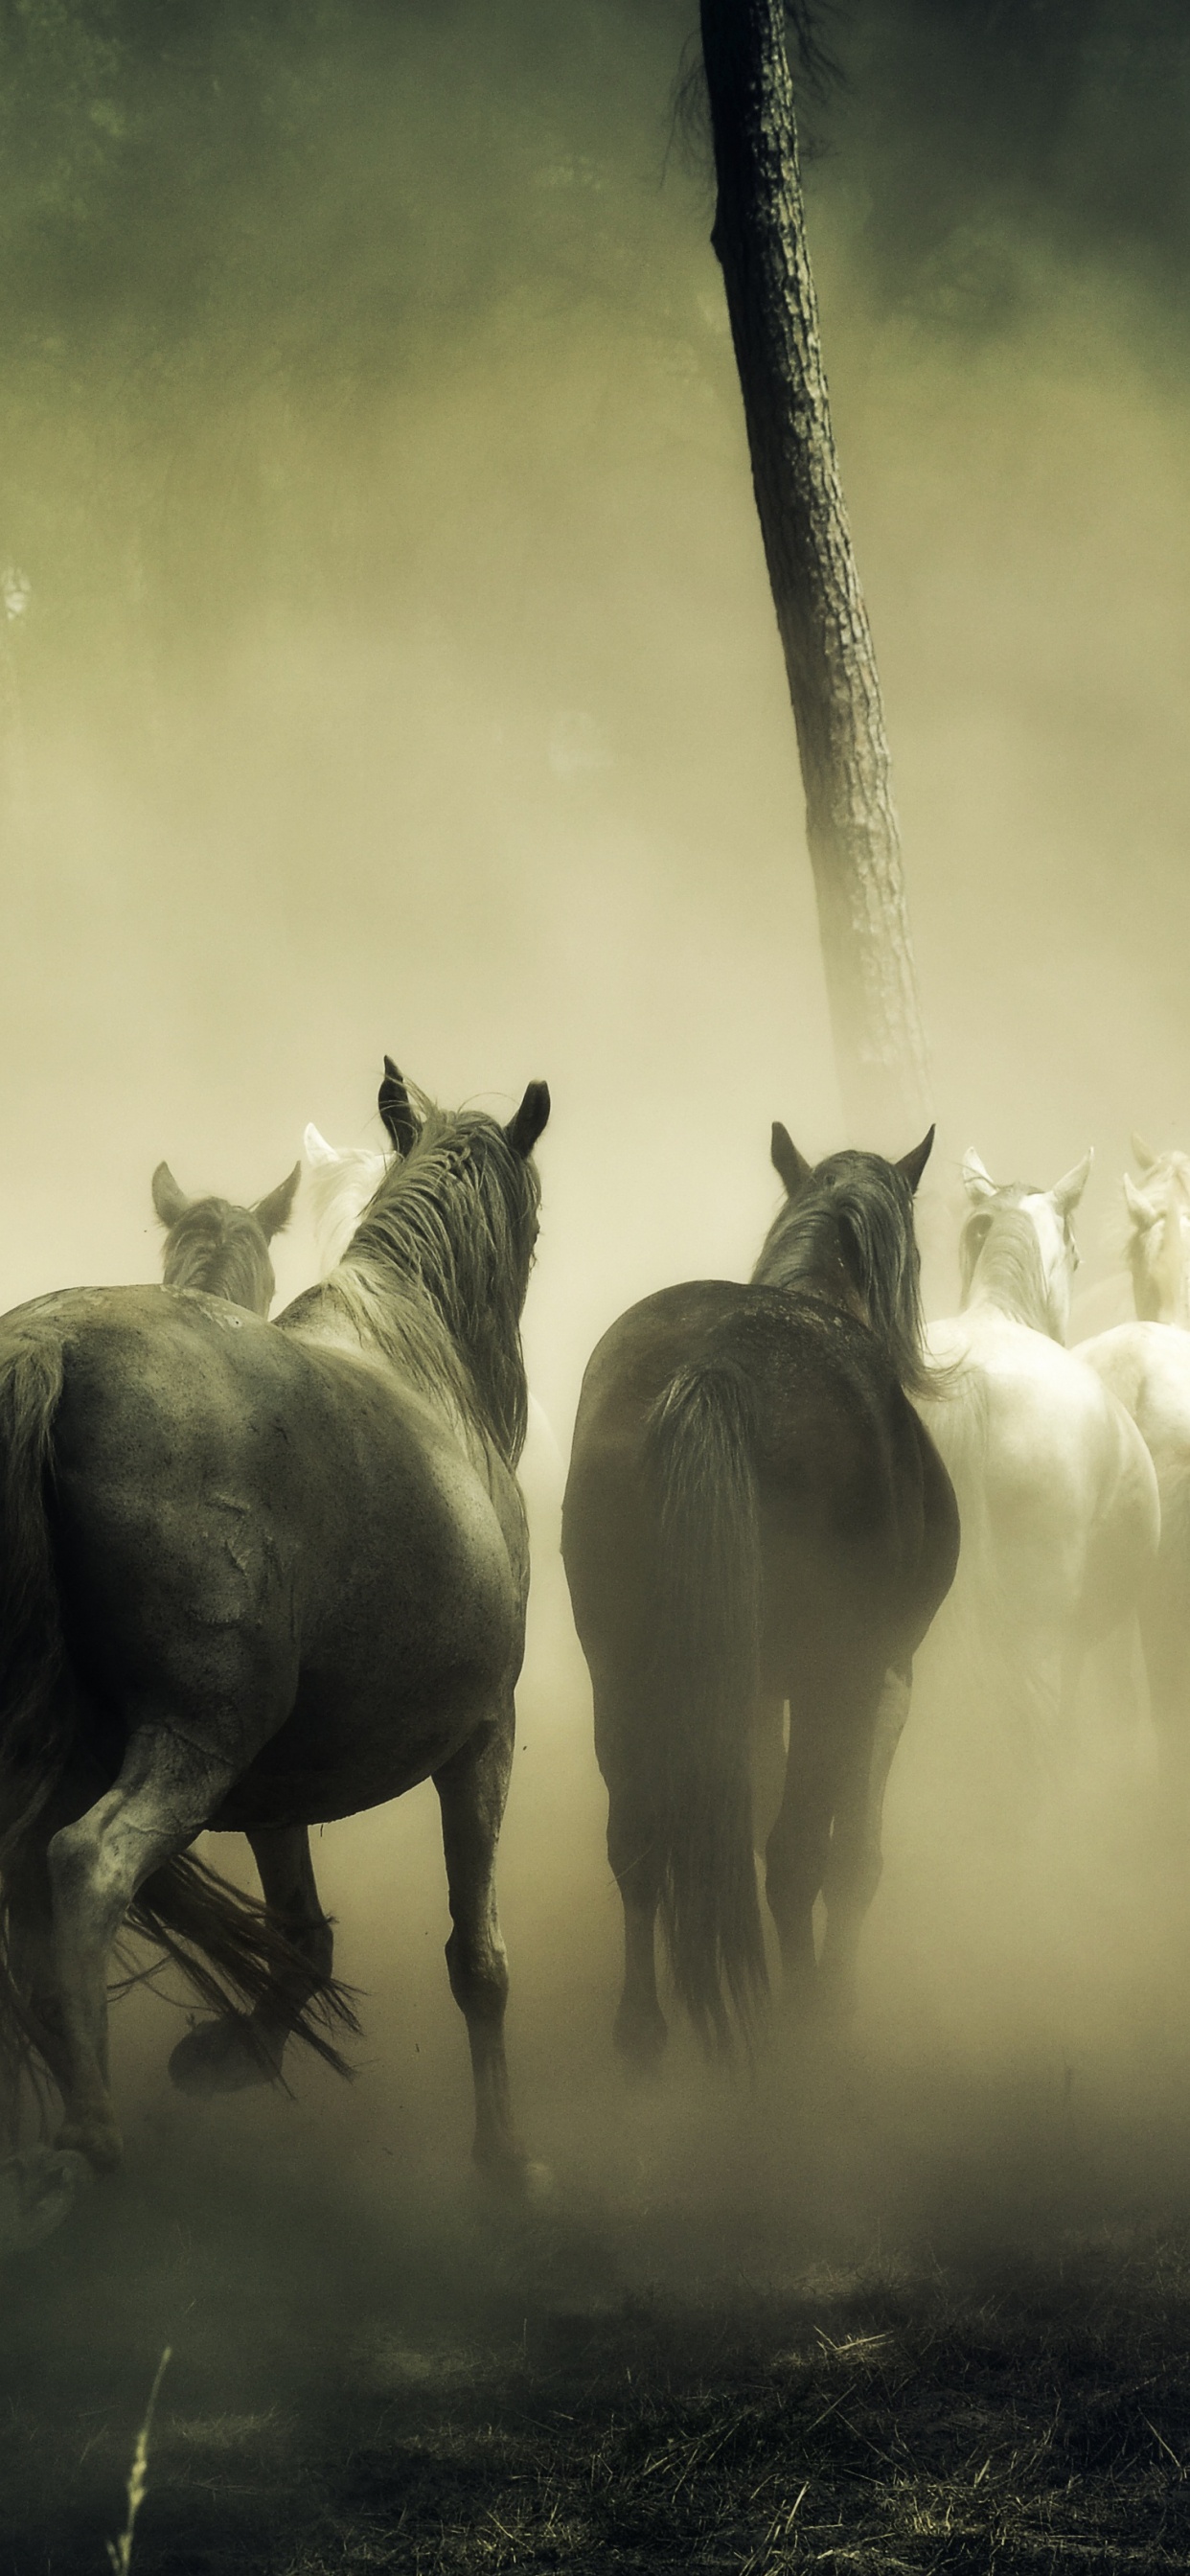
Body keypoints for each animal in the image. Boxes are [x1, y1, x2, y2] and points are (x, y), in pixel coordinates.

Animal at [0, 1062, 550, 2214]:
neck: (420, 1357)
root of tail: (51, 1347)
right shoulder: (484, 1738)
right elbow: (478, 1959)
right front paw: (507, 2163)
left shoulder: (278, 1784)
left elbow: (299, 1941)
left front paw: (223, 2056)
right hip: (194, 1744)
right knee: (84, 1864)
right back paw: (87, 2134)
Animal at [561, 1123, 959, 2066]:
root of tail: (718, 1366)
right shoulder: (883, 1676)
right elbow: (852, 1858)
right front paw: (837, 1996)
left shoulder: (743, 1689)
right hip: (826, 1679)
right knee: (795, 1858)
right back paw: (803, 2026)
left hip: (622, 1669)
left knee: (638, 1840)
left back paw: (643, 2029)